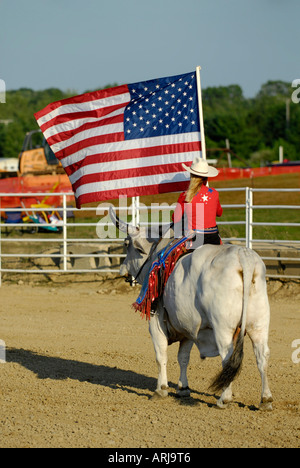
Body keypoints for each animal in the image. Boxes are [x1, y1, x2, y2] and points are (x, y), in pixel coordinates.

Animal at [110, 208, 274, 410]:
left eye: (127, 245)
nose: (122, 271)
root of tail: (244, 256)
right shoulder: (188, 328)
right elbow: (183, 357)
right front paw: (183, 388)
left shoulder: (156, 323)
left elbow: (161, 355)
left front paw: (161, 389)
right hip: (259, 325)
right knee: (262, 356)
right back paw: (265, 399)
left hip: (223, 328)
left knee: (227, 357)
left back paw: (224, 398)